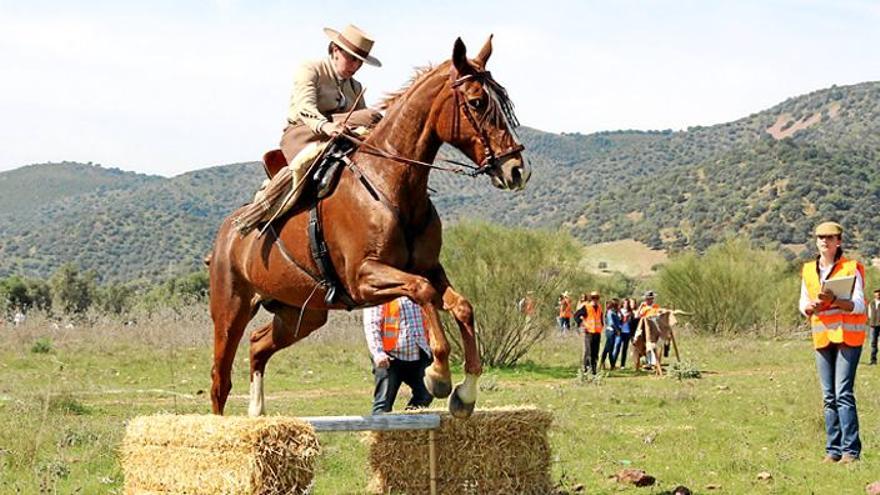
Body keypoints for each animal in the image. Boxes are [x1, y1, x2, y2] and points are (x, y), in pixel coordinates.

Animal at [208, 35, 528, 418]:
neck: (391, 183)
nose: (517, 170)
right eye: (478, 103)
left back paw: (257, 413)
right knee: (220, 379)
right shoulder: (364, 278)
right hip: (231, 309)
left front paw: (465, 394)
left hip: (301, 315)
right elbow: (422, 291)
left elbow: (461, 305)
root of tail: (226, 233)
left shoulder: (428, 268)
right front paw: (438, 375)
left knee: (258, 345)